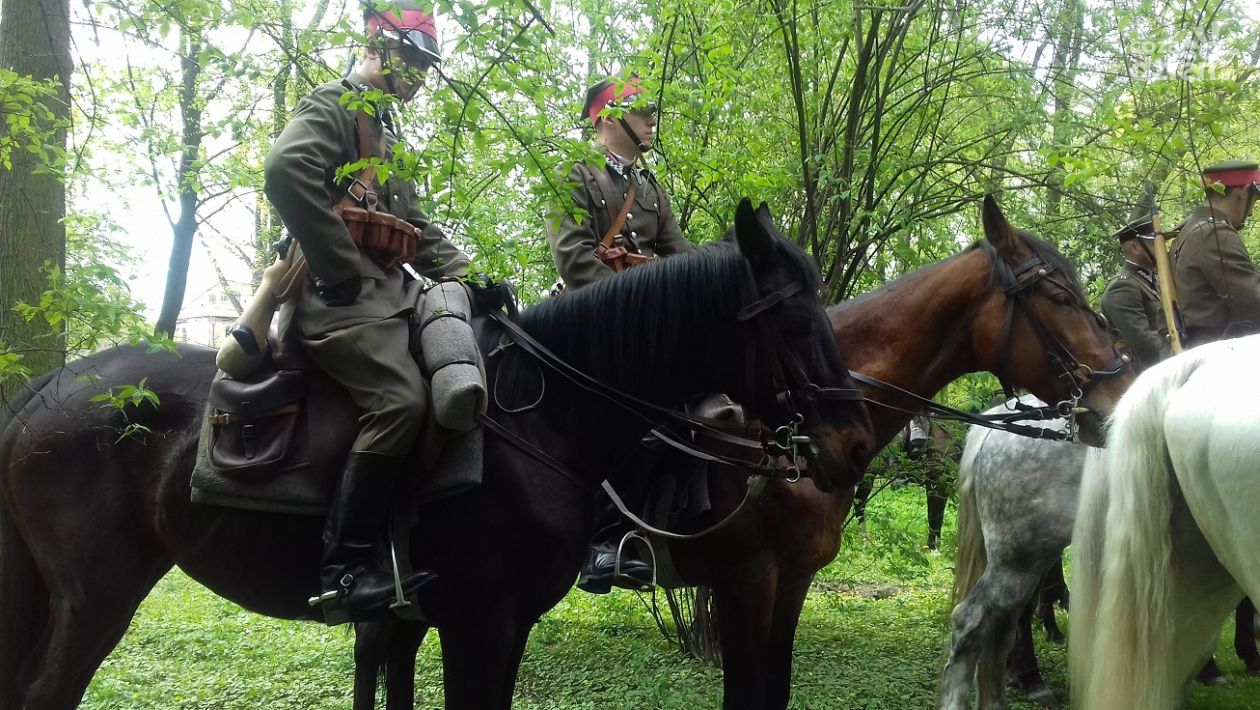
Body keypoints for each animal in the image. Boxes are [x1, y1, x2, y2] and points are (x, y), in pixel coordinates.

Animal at [0, 200, 877, 710]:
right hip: (96, 598)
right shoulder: (478, 624)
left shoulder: (451, 627)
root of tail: (43, 390)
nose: (856, 440)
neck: (544, 422)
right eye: (796, 319)